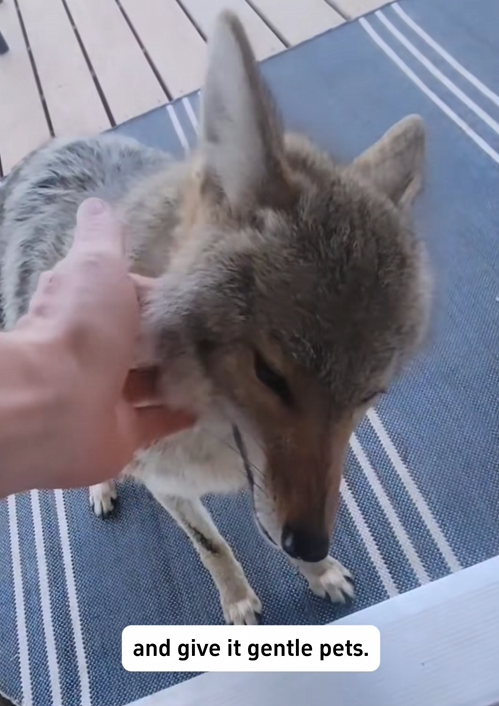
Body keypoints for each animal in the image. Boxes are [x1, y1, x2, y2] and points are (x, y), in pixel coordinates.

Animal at [0, 12, 430, 624]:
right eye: (269, 374)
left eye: (371, 395)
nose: (312, 543)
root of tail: (50, 144)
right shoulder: (171, 486)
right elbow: (214, 546)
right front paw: (240, 602)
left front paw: (319, 573)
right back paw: (103, 485)